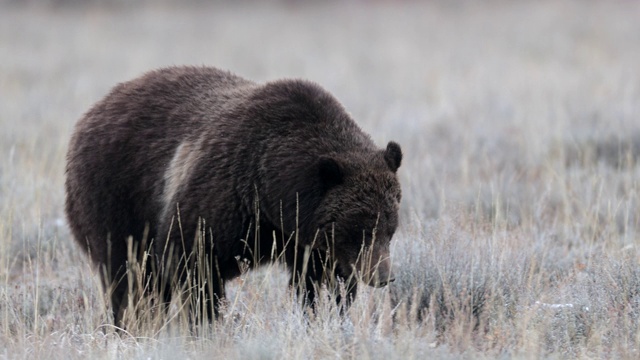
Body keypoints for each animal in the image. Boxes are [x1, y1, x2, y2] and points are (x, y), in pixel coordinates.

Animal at [66, 65, 404, 326]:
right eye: (358, 227)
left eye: (389, 227)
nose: (382, 276)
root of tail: (92, 112)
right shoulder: (221, 200)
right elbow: (192, 264)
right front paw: (207, 322)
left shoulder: (308, 241)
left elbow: (320, 282)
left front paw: (324, 314)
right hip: (117, 198)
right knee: (129, 276)